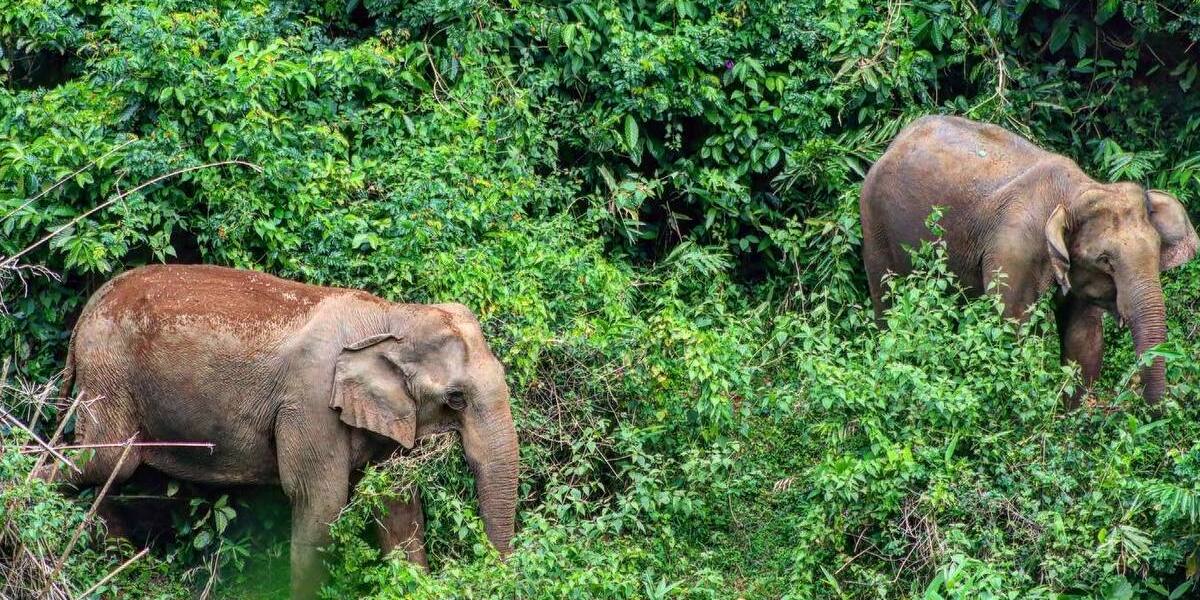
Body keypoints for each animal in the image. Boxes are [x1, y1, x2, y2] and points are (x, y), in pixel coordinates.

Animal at [48, 264, 518, 599]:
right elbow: (321, 501)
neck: (391, 315)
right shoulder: (311, 405)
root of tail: (87, 310)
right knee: (103, 460)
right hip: (109, 378)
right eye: (456, 398)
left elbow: (398, 506)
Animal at [860, 115, 1198, 404]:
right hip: (874, 224)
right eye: (1105, 260)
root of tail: (894, 142)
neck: (1076, 191)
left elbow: (1084, 341)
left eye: (1156, 252)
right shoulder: (1013, 251)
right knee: (886, 299)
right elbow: (1014, 329)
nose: (1150, 410)